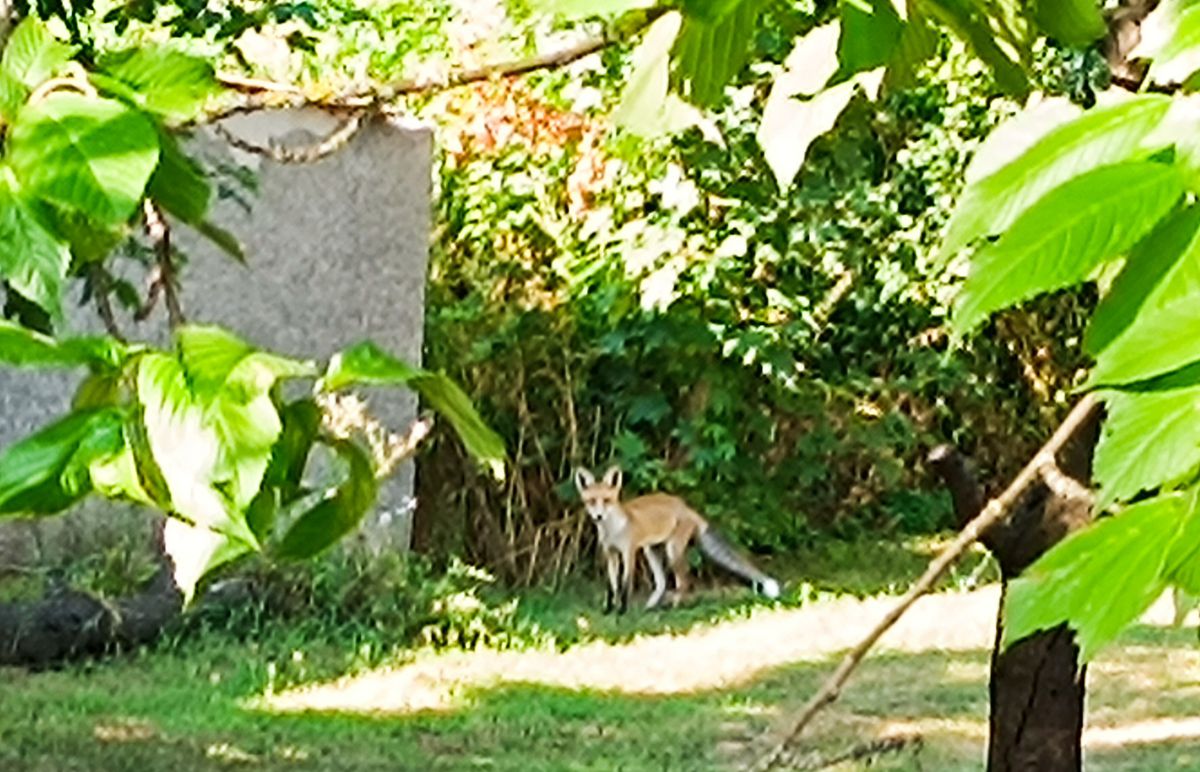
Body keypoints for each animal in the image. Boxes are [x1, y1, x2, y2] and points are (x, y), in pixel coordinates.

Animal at [573, 468, 782, 612]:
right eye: (591, 501)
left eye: (607, 500)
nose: (598, 516)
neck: (614, 530)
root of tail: (686, 506)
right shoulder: (610, 554)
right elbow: (611, 586)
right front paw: (608, 610)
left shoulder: (629, 553)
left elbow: (624, 586)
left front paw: (622, 611)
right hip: (652, 551)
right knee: (662, 582)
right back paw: (650, 607)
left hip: (672, 551)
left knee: (684, 580)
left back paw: (674, 607)